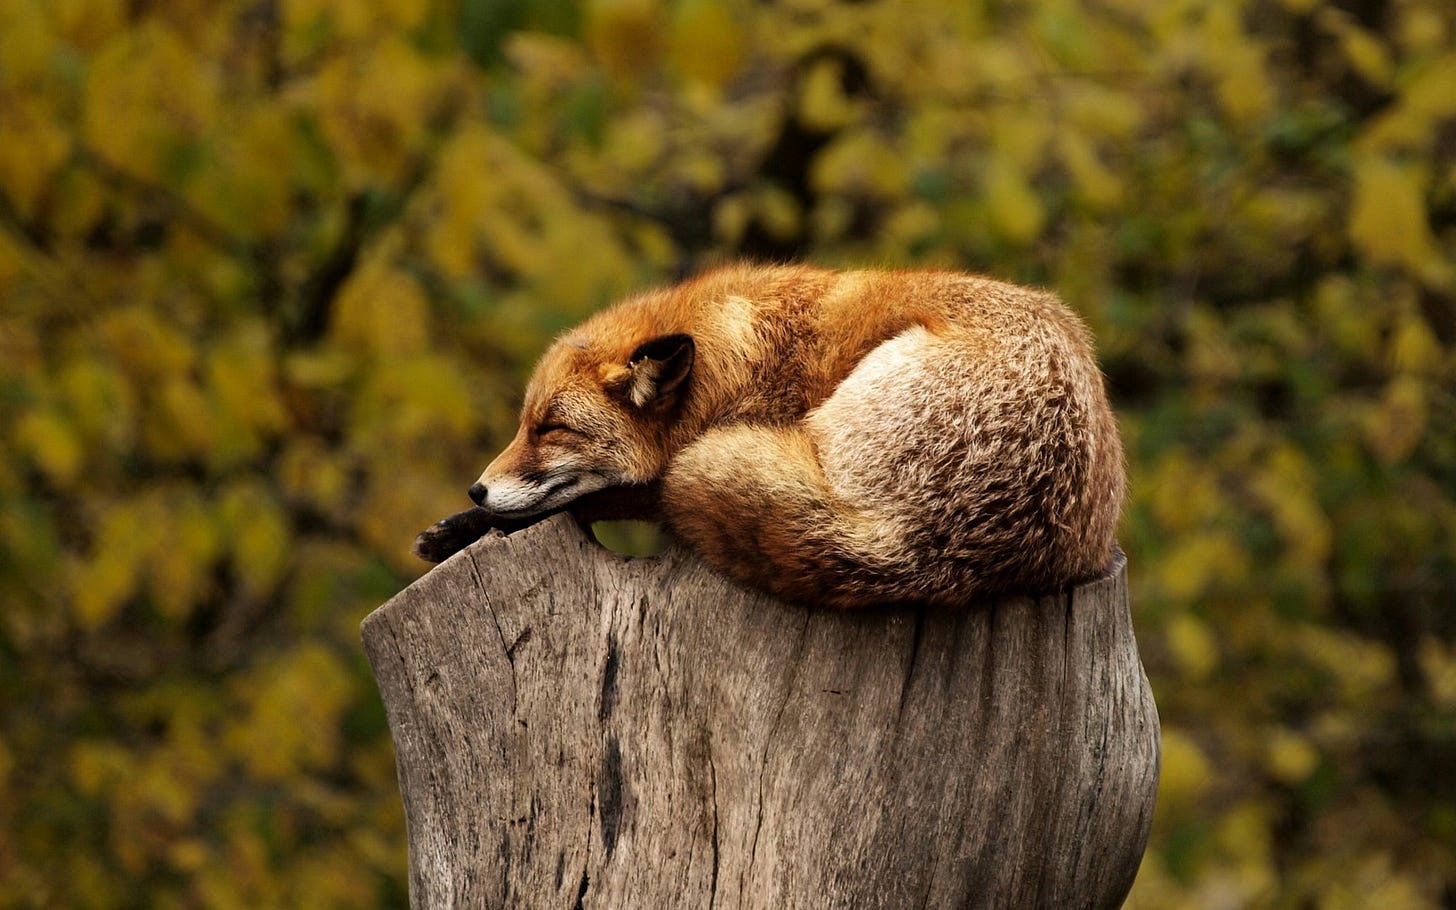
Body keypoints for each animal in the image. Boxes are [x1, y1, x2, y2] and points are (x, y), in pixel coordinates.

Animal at [413, 260, 1124, 611]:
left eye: (551, 428)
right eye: (523, 424)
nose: (476, 490)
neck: (735, 360)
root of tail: (924, 548)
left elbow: (604, 497)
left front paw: (467, 527)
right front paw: (457, 527)